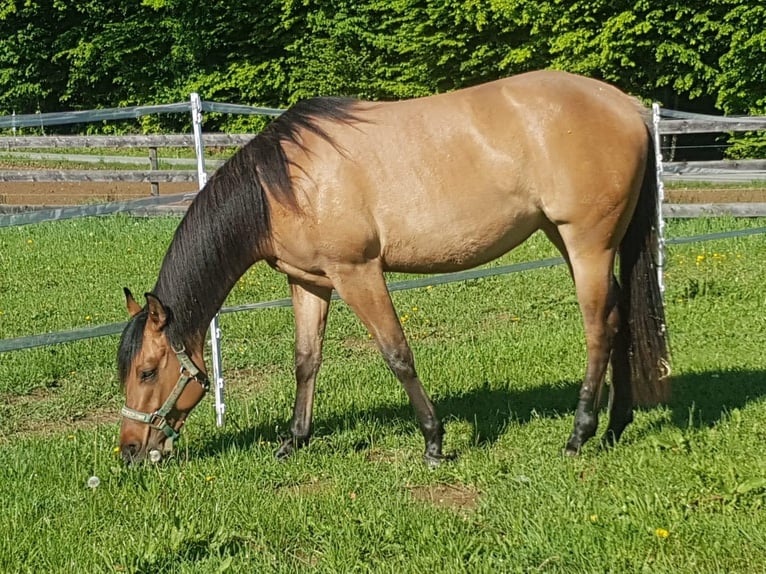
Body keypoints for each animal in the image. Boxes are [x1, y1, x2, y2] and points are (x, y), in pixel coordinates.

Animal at [117, 71, 668, 468]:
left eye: (147, 370)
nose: (129, 450)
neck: (283, 185)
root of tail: (627, 107)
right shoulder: (309, 281)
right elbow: (306, 360)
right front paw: (293, 441)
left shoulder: (357, 272)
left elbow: (397, 354)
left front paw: (434, 442)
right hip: (572, 239)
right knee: (619, 319)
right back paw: (616, 426)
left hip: (587, 243)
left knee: (599, 327)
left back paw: (579, 435)